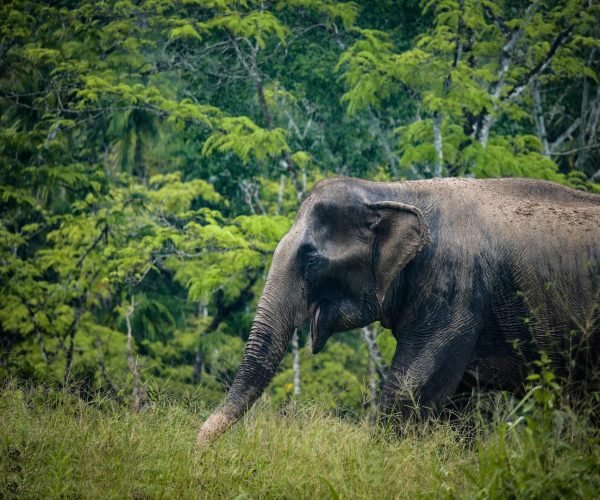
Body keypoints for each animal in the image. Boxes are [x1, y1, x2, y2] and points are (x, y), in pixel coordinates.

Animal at [198, 178, 600, 444]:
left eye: (310, 259)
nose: (199, 449)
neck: (394, 192)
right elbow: (454, 407)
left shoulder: (455, 289)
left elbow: (410, 390)